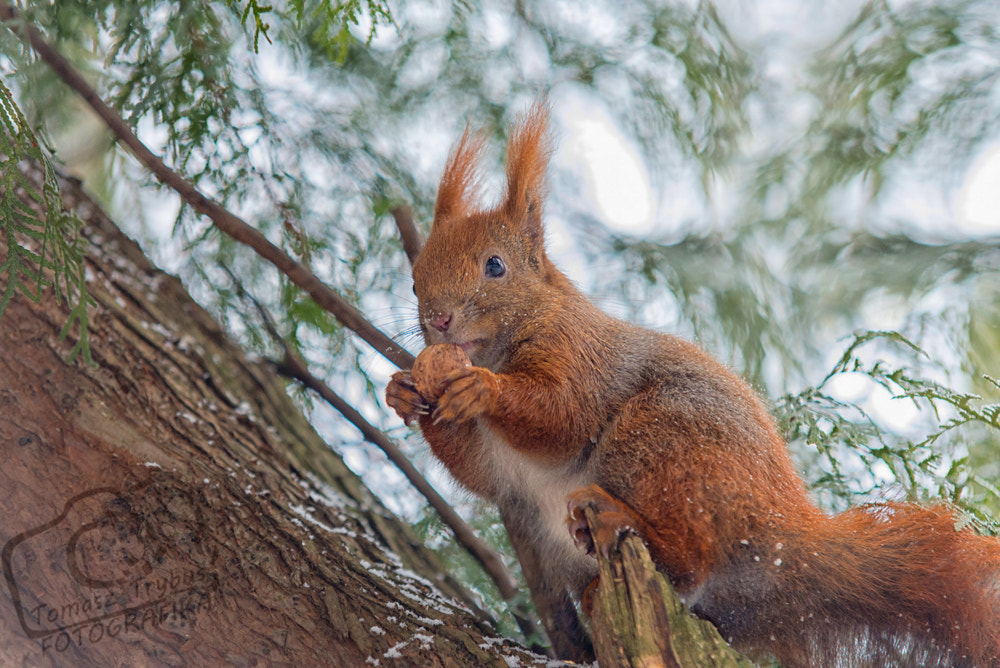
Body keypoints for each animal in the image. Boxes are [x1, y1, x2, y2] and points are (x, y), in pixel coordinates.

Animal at [382, 103, 1000, 668]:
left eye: (495, 266)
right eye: (414, 280)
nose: (438, 320)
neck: (511, 338)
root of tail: (785, 536)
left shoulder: (582, 357)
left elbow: (561, 416)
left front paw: (481, 388)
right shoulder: (499, 473)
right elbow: (478, 473)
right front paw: (402, 392)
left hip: (665, 439)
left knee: (690, 561)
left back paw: (626, 522)